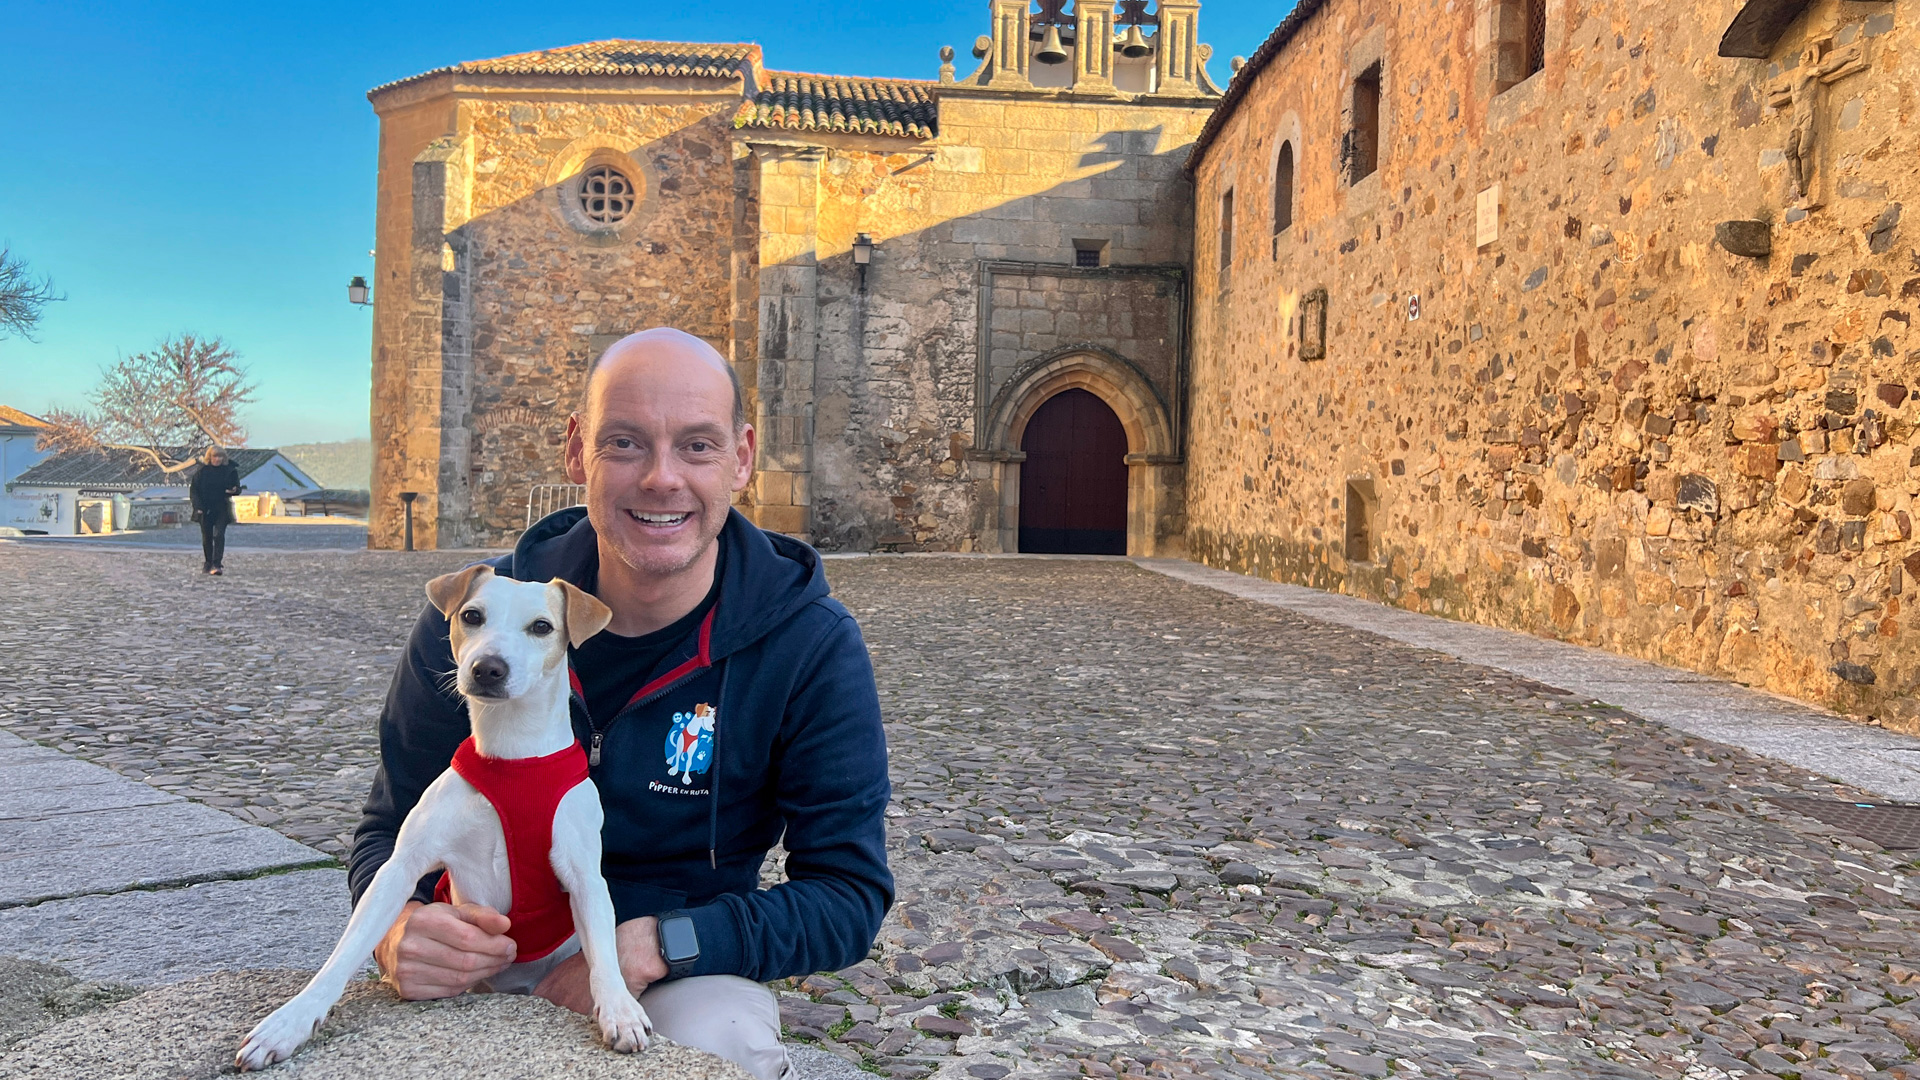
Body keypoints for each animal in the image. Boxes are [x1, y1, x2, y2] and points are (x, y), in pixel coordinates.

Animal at [236, 564, 656, 1068]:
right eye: (472, 616)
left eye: (542, 627)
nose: (488, 667)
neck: (512, 758)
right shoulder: (400, 868)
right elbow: (346, 950)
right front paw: (291, 1021)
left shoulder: (585, 877)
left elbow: (605, 957)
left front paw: (620, 1010)